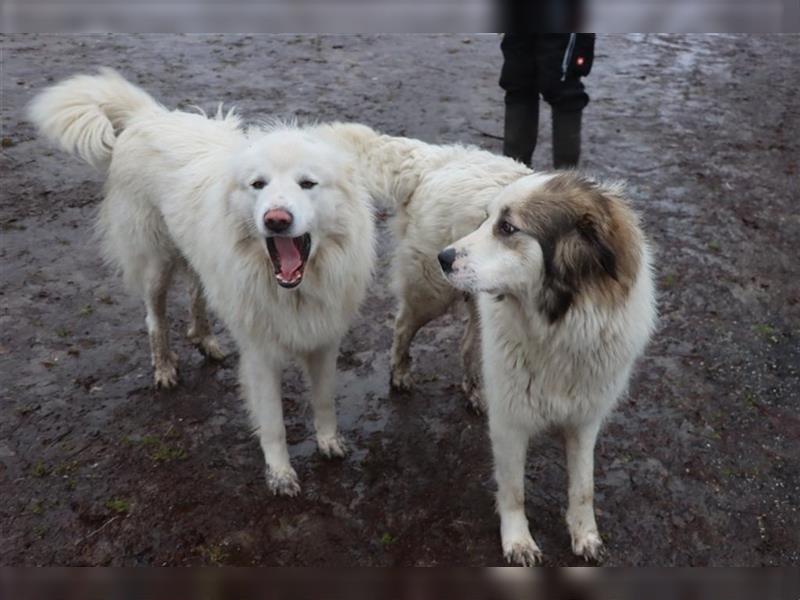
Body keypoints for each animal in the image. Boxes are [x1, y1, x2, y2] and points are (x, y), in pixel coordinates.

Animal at [438, 171, 656, 564]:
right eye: (486, 219)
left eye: (507, 228)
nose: (442, 258)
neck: (560, 326)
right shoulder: (509, 423)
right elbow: (514, 491)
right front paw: (518, 541)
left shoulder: (585, 419)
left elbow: (584, 486)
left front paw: (585, 535)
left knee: (467, 344)